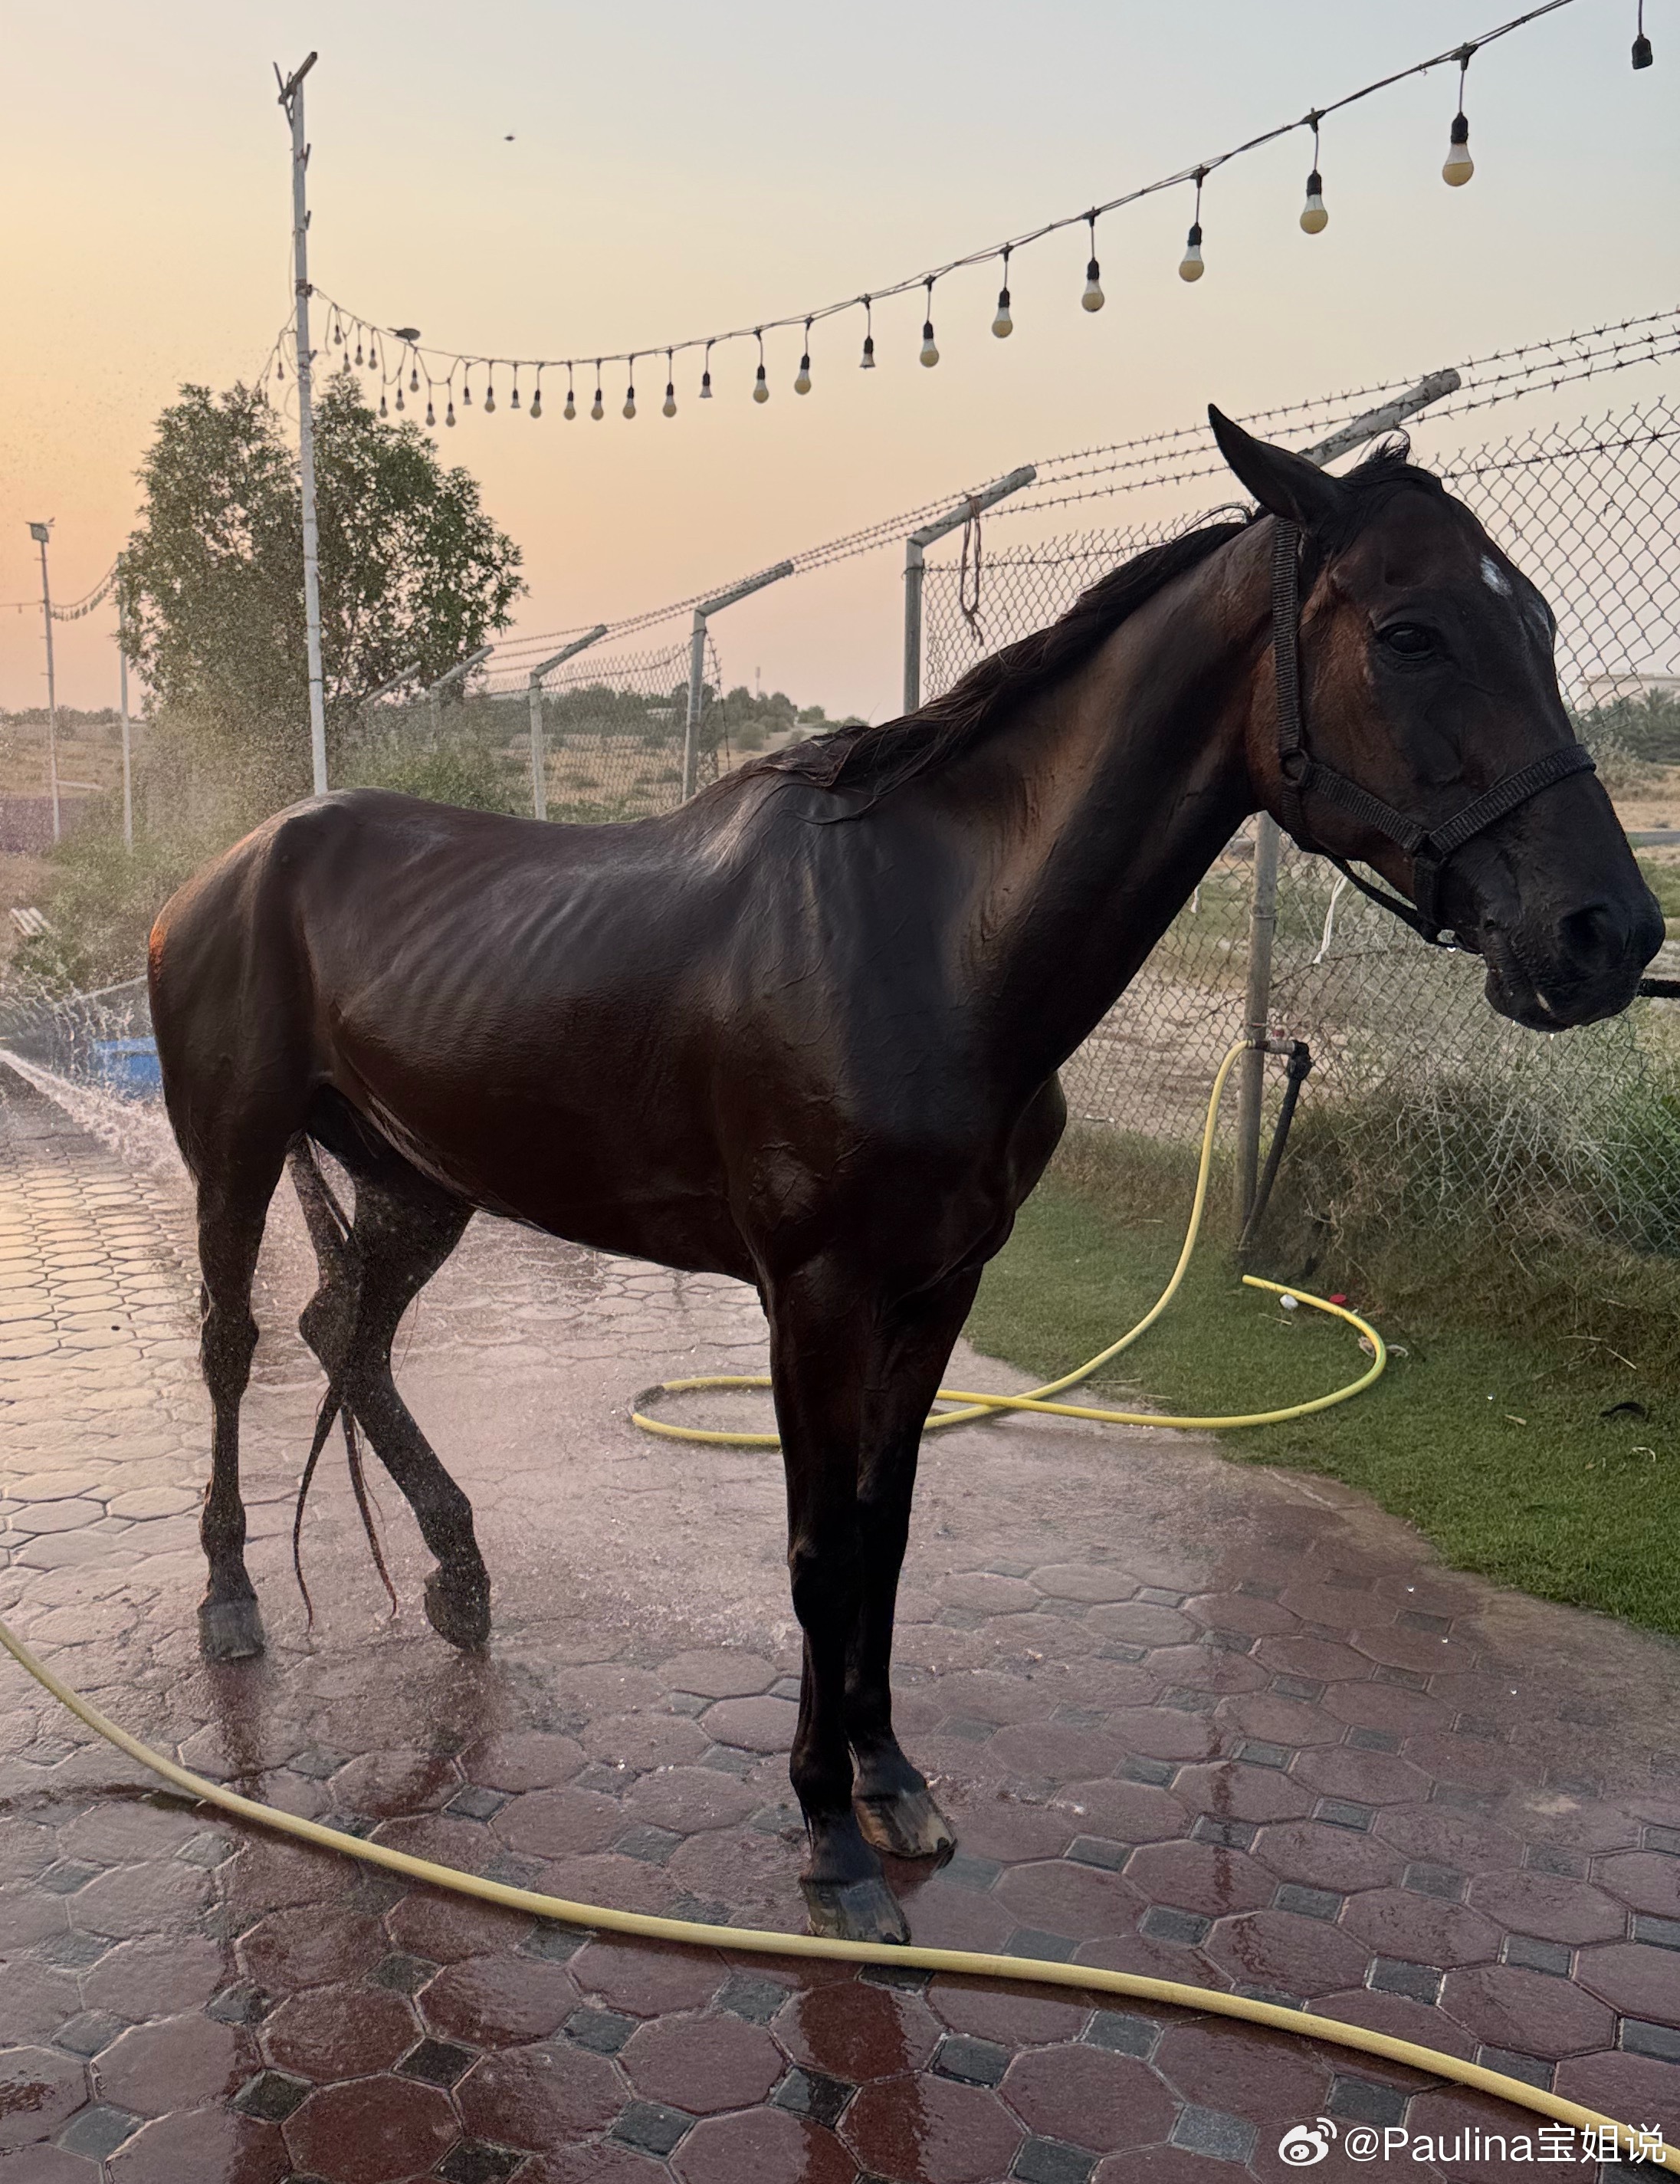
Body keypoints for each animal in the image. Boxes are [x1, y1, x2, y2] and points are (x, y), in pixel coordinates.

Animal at [148, 412, 1662, 1942]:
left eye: (1539, 623)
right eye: (1411, 633)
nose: (1606, 932)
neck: (936, 941)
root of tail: (225, 865)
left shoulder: (938, 1287)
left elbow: (883, 1528)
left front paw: (887, 1778)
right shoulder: (813, 1298)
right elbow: (820, 1550)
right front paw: (828, 1835)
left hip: (419, 1178)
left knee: (346, 1334)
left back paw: (458, 1575)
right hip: (234, 1155)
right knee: (234, 1342)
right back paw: (230, 1599)